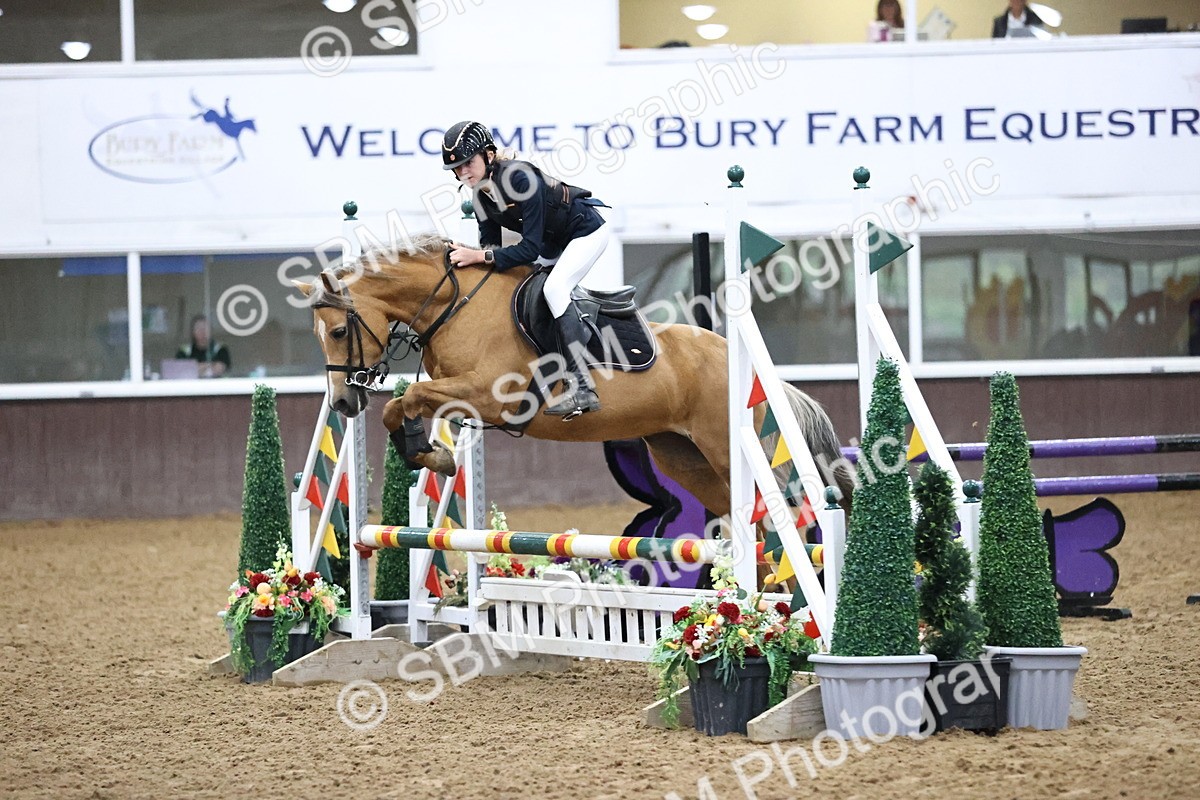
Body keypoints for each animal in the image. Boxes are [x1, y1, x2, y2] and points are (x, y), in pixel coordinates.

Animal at [294, 234, 854, 520]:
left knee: (783, 510)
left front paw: (432, 454)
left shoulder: (491, 396)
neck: (457, 303)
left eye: (339, 331)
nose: (341, 403)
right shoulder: (461, 394)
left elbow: (410, 395)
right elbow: (402, 404)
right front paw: (431, 453)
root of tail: (733, 356)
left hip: (723, 447)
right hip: (683, 456)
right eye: (318, 336)